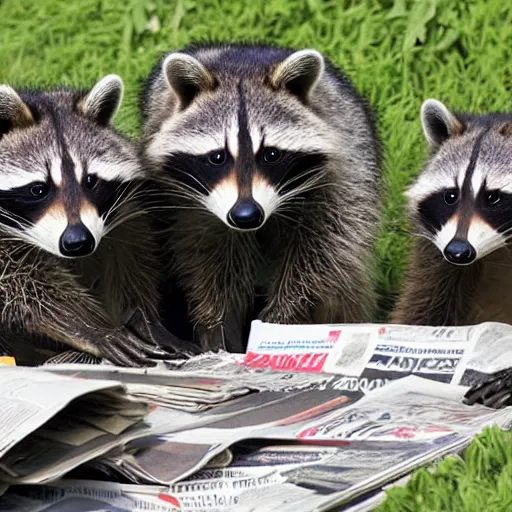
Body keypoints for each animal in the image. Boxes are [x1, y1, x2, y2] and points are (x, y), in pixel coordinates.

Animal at [0, 74, 174, 366]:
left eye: (91, 181)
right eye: (38, 189)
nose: (78, 241)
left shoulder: (122, 213)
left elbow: (131, 261)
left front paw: (143, 317)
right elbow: (20, 282)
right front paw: (90, 326)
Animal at [139, 43, 380, 352]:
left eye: (271, 154)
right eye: (218, 157)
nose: (246, 216)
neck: (244, 69)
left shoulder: (344, 171)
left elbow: (323, 250)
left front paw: (283, 315)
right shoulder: (188, 197)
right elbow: (207, 253)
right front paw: (216, 321)